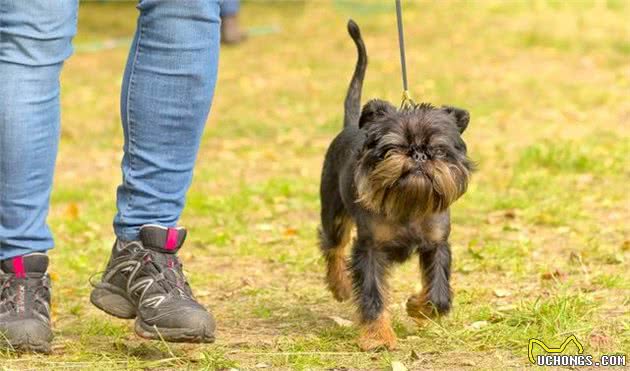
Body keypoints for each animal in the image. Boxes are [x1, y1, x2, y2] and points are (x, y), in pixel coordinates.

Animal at [320, 20, 474, 352]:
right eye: (393, 147)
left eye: (438, 150)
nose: (418, 153)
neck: (409, 203)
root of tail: (351, 125)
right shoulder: (370, 249)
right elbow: (373, 294)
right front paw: (378, 336)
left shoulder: (437, 244)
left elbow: (439, 295)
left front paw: (417, 306)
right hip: (333, 211)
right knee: (333, 245)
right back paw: (340, 285)